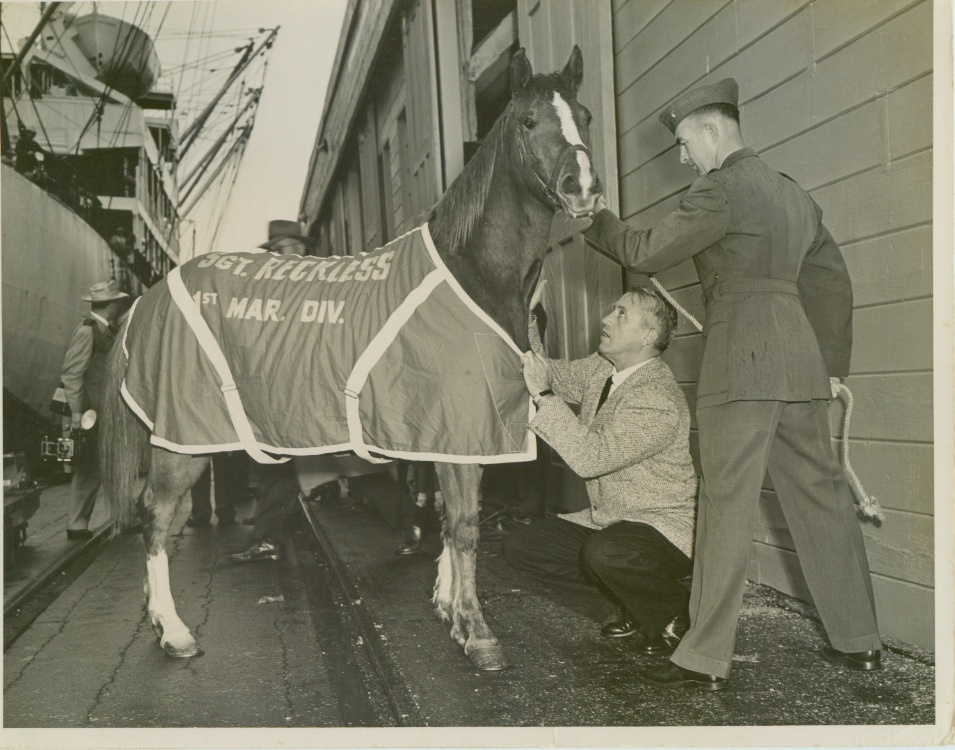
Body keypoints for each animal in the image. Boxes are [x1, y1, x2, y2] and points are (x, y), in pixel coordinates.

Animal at [100, 46, 601, 672]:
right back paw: (173, 630)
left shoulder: (458, 434)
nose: (582, 188)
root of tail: (148, 296)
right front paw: (477, 631)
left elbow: (451, 518)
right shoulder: (456, 427)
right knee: (157, 517)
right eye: (528, 121)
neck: (471, 274)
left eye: (585, 115)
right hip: (181, 439)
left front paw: (449, 608)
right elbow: (465, 526)